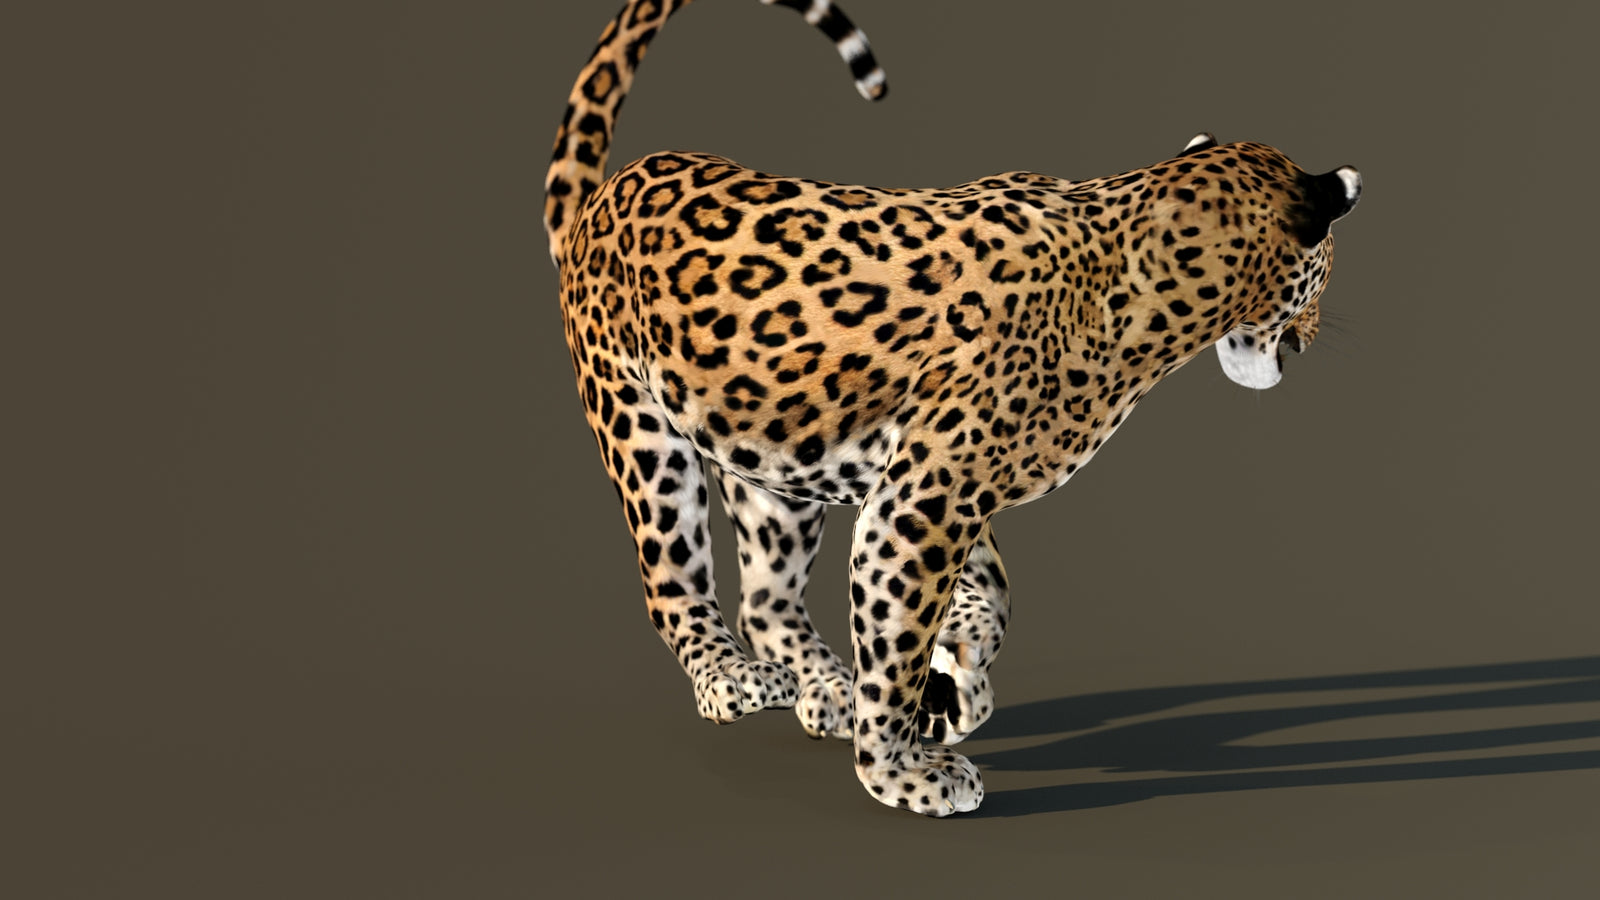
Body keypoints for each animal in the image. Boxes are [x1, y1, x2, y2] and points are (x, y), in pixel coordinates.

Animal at [544, 0, 1360, 817]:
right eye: (1323, 274)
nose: (1312, 338)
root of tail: (605, 196)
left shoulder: (935, 487)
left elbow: (992, 595)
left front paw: (954, 678)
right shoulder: (922, 501)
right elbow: (899, 638)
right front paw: (902, 769)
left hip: (772, 458)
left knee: (767, 597)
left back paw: (826, 687)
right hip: (643, 433)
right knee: (672, 581)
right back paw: (733, 677)